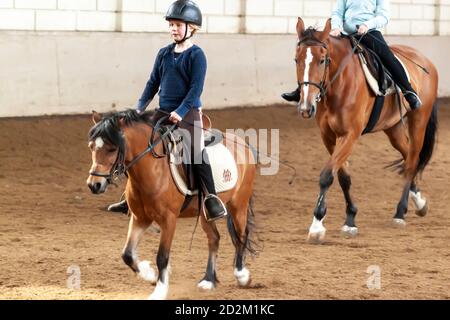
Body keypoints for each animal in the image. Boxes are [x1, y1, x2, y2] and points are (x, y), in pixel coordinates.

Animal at [87, 110, 256, 300]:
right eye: (92, 147)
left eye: (112, 148)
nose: (94, 185)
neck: (153, 170)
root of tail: (242, 143)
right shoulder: (140, 218)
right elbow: (127, 255)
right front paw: (150, 275)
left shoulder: (169, 220)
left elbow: (162, 256)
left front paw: (159, 290)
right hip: (205, 213)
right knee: (214, 239)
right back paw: (208, 280)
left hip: (239, 204)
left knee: (241, 235)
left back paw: (242, 275)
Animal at [294, 17, 438, 242]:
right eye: (296, 60)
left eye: (322, 60)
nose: (306, 107)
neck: (340, 83)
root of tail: (425, 61)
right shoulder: (329, 136)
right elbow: (343, 177)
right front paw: (350, 219)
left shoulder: (349, 135)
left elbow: (326, 176)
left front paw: (317, 226)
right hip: (393, 129)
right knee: (408, 157)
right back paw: (419, 202)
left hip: (418, 121)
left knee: (412, 160)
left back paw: (400, 213)